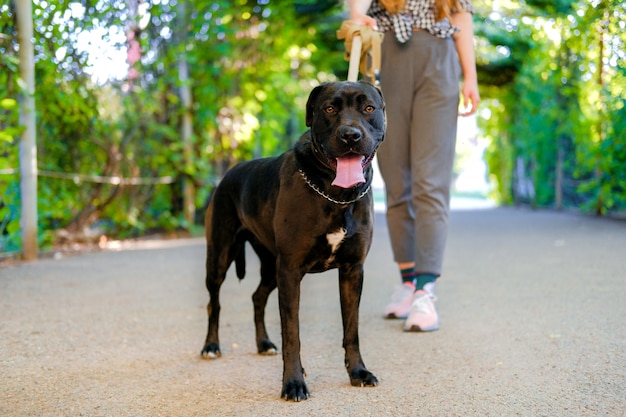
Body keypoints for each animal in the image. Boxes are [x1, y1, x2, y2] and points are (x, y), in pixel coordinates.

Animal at [202, 80, 382, 400]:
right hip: (221, 257)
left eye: (369, 108)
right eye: (329, 108)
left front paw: (358, 372)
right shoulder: (290, 271)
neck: (335, 195)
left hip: (270, 266)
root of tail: (227, 175)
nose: (350, 135)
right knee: (215, 302)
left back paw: (263, 344)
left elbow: (352, 329)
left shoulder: (352, 271)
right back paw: (211, 346)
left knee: (257, 296)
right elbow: (292, 334)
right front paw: (294, 383)